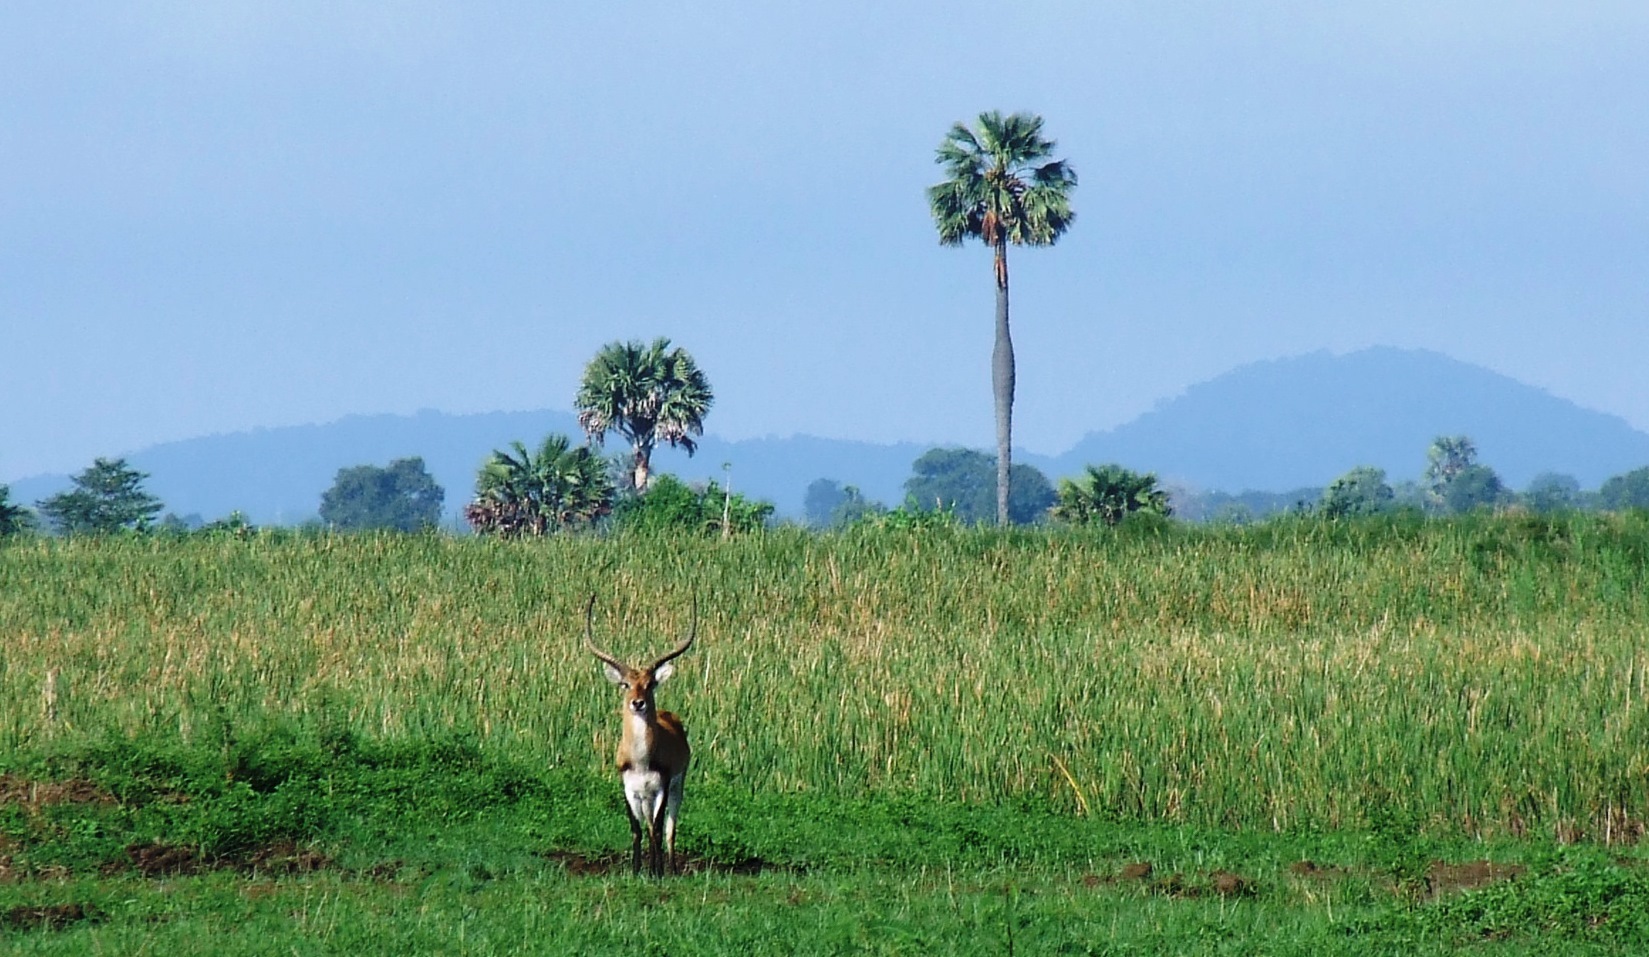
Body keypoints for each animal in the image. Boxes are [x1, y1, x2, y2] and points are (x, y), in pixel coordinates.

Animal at [587, 594, 695, 877]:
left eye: (651, 684)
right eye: (626, 684)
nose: (638, 703)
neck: (641, 759)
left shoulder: (662, 786)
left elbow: (656, 830)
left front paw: (656, 872)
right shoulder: (629, 788)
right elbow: (636, 830)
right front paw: (636, 871)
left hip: (677, 787)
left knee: (668, 829)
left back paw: (670, 868)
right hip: (644, 796)